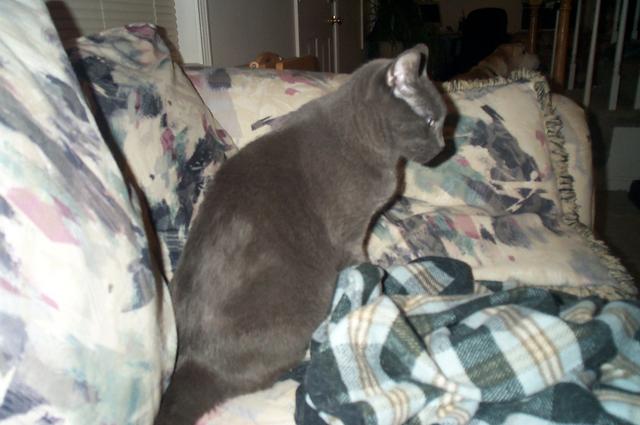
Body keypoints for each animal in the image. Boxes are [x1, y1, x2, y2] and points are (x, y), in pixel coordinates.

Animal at [155, 44, 446, 425]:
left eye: (443, 121)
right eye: (430, 121)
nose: (443, 146)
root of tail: (192, 365)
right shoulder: (351, 235)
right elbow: (365, 268)